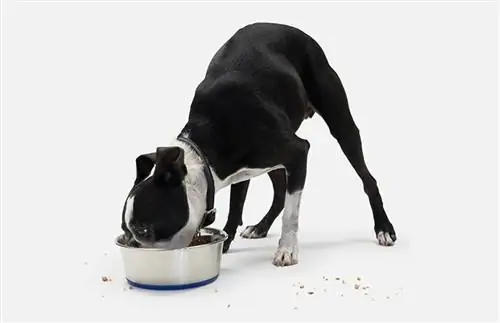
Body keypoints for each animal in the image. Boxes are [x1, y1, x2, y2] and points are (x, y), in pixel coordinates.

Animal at [119, 22, 396, 266]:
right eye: (125, 228)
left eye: (143, 231)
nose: (131, 244)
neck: (205, 148)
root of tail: (299, 32)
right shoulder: (244, 171)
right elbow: (236, 206)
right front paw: (226, 242)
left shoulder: (298, 151)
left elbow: (291, 213)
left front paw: (287, 250)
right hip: (272, 163)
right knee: (280, 193)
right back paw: (261, 226)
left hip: (341, 125)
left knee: (367, 178)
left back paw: (383, 228)